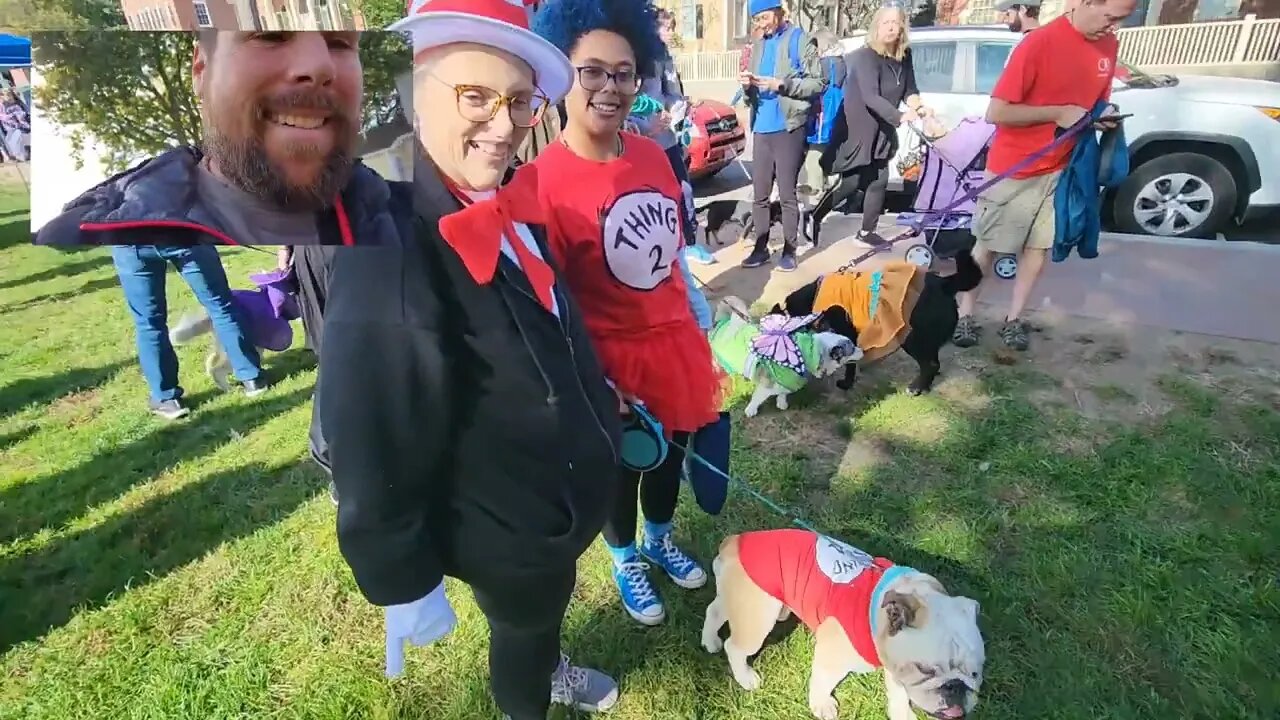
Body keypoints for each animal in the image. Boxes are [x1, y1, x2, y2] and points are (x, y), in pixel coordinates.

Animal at [773, 245, 983, 392]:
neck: (814, 296)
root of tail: (945, 284)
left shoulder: (848, 334)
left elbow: (850, 364)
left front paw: (847, 383)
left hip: (911, 336)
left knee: (930, 364)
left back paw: (916, 388)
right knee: (933, 361)